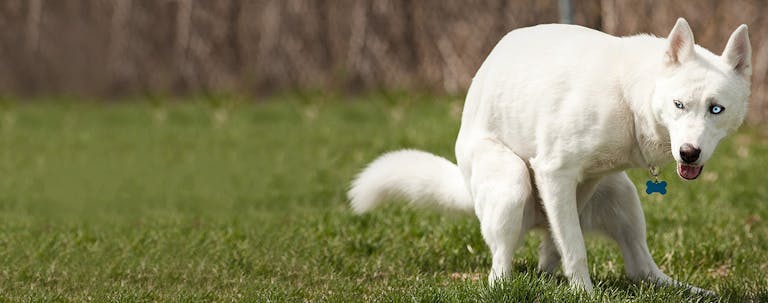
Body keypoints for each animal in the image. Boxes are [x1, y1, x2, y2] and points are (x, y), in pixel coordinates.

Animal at [350, 18, 752, 294]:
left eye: (716, 109)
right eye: (678, 104)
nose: (689, 153)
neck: (629, 94)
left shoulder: (583, 181)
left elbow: (562, 241)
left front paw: (566, 280)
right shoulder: (553, 173)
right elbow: (575, 248)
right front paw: (584, 293)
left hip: (622, 196)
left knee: (641, 269)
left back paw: (692, 292)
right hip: (511, 184)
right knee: (500, 264)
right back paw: (503, 285)